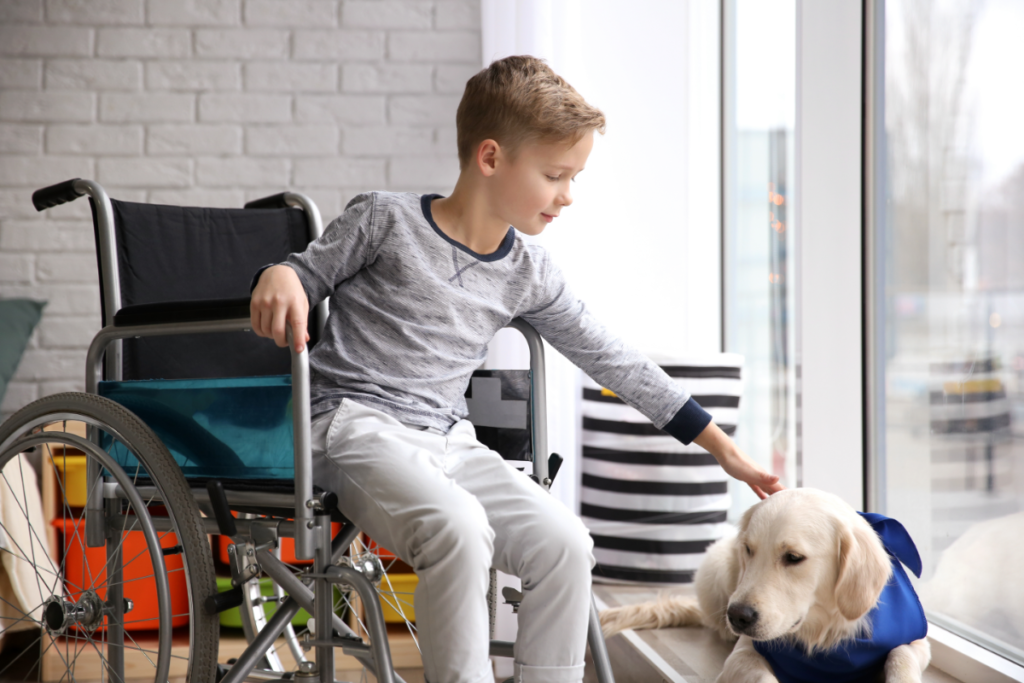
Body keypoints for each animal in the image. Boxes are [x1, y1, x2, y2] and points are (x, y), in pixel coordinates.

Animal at [598, 489, 933, 683]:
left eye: (793, 557)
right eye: (748, 549)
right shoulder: (742, 652)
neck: (821, 633)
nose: (738, 616)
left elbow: (901, 657)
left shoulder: (917, 642)